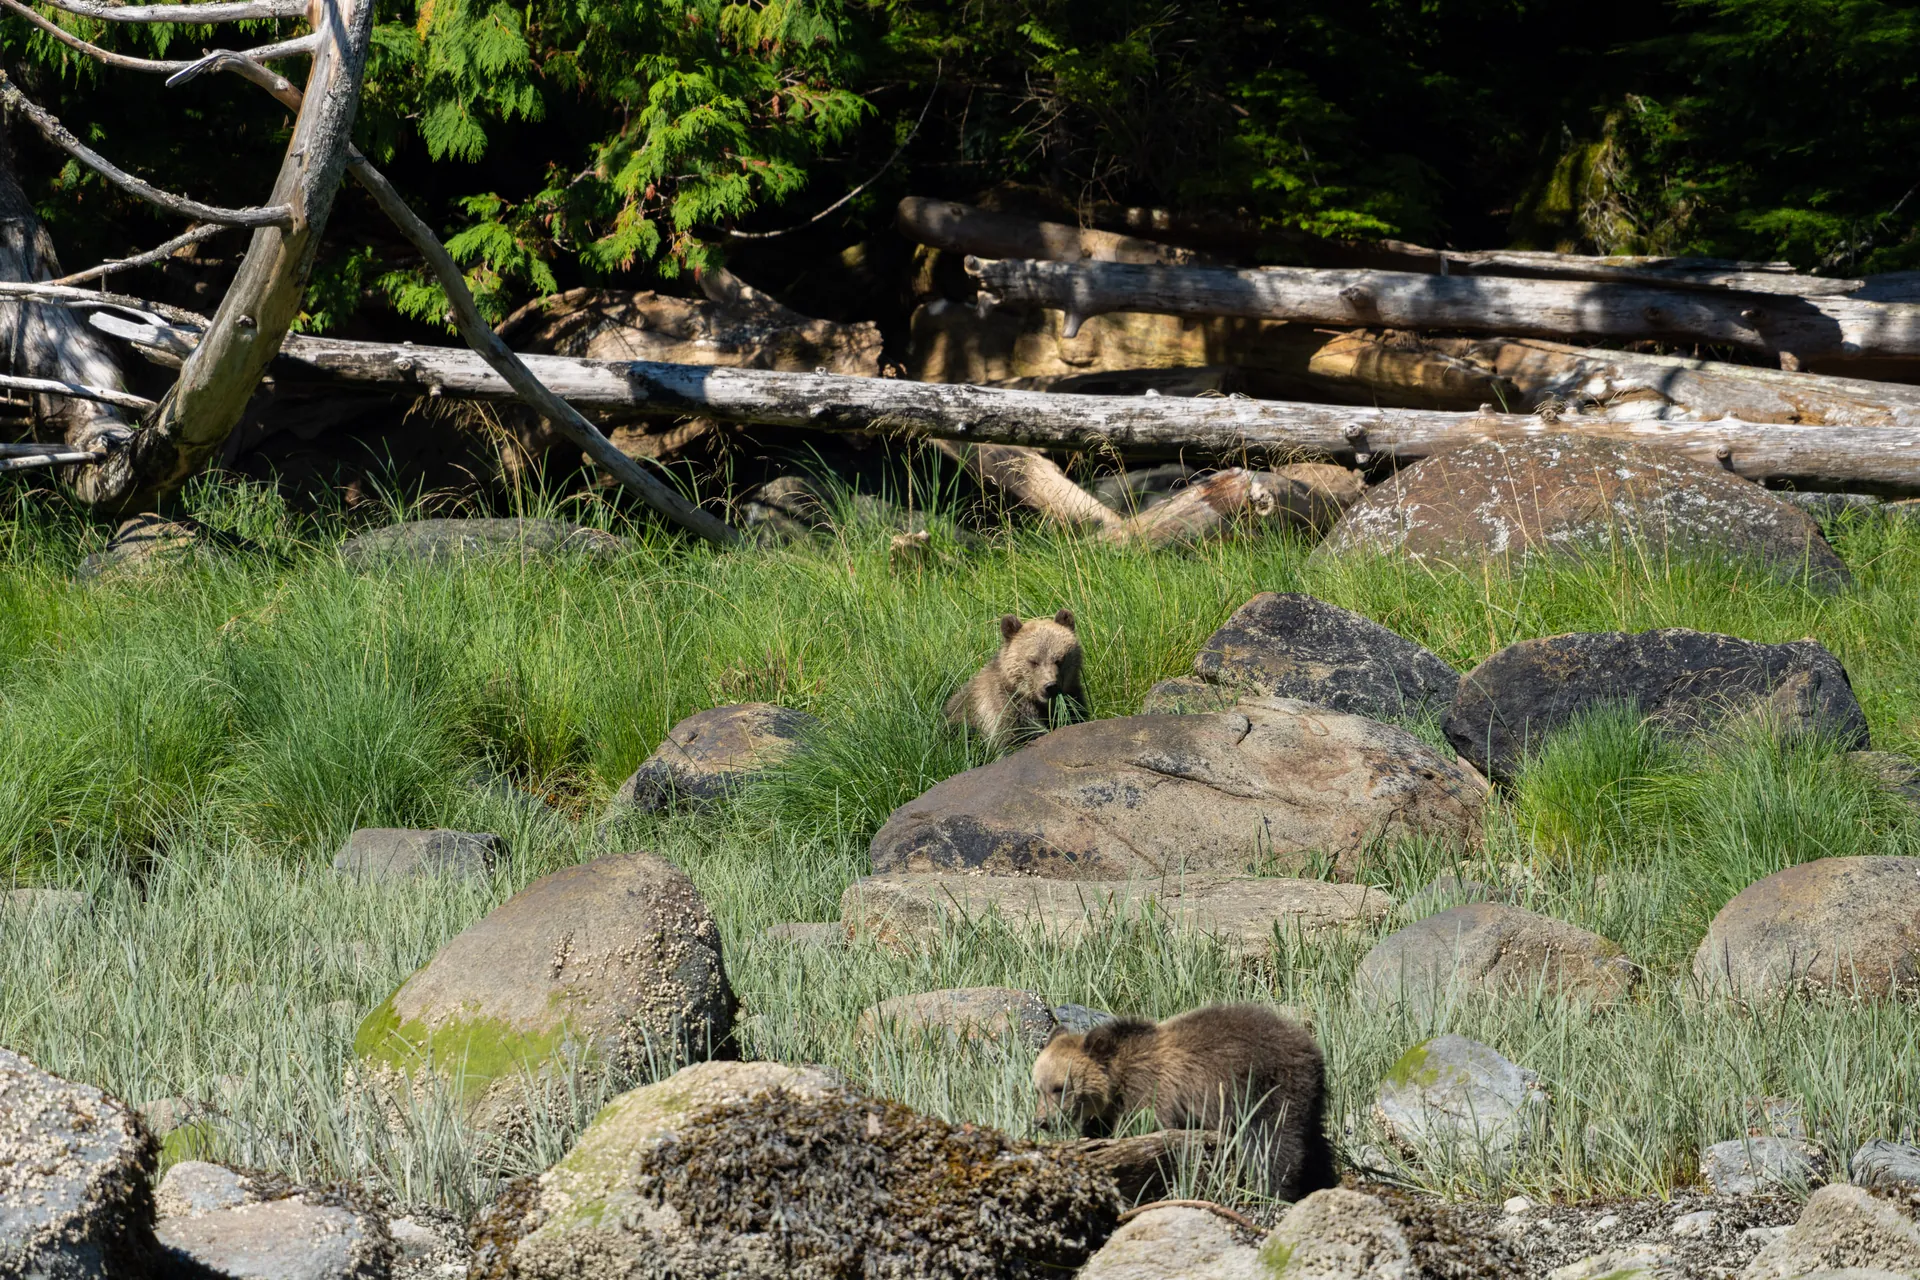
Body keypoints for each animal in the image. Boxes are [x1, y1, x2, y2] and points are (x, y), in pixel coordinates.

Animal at [1030, 1003, 1336, 1202]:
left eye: (1060, 1088)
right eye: (1038, 1088)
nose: (1042, 1121)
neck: (1117, 1082)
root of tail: (1312, 1047)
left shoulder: (1150, 1093)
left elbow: (1145, 1129)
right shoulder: (1106, 1112)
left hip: (1268, 1088)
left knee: (1273, 1142)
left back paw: (1270, 1190)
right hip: (1307, 1097)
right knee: (1315, 1141)